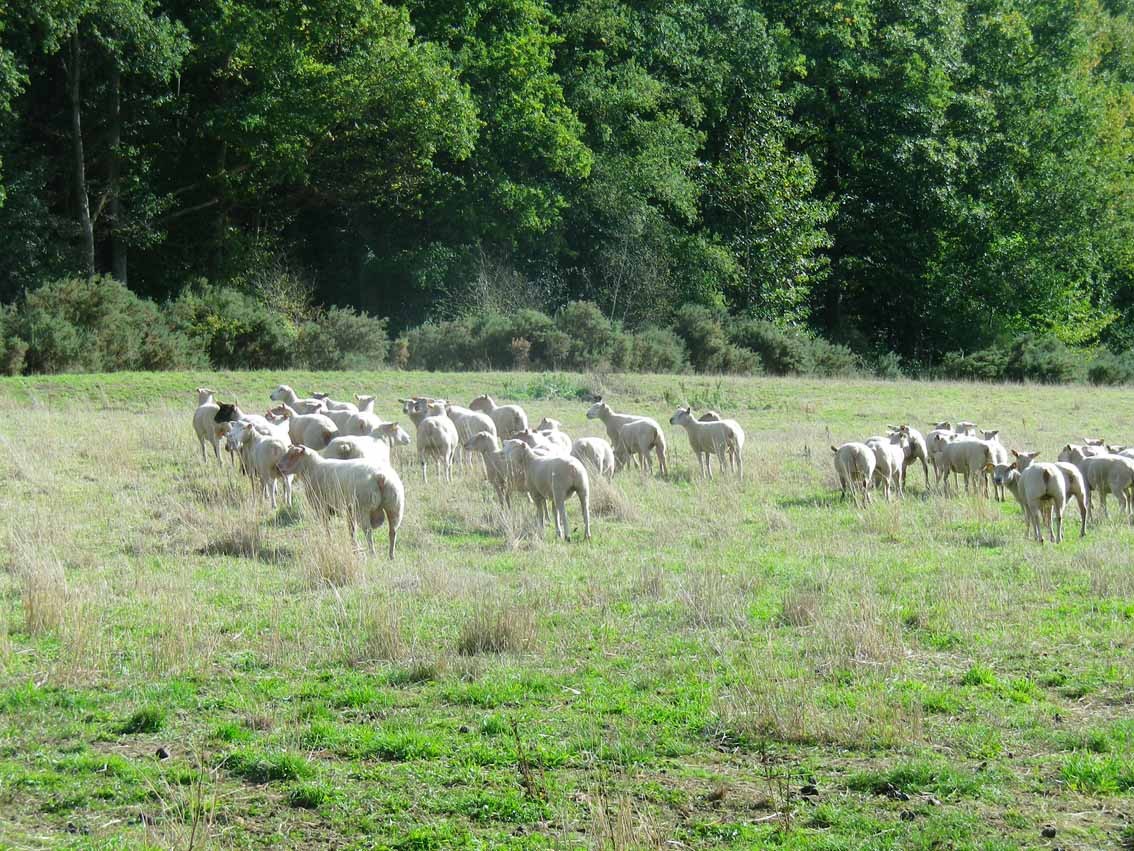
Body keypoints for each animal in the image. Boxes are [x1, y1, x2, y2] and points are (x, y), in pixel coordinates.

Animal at [276, 442, 405, 562]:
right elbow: (351, 529)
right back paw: (391, 555)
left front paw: (329, 541)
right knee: (393, 531)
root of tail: (381, 476)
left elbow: (326, 526)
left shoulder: (322, 506)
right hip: (395, 506)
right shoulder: (349, 509)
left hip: (363, 508)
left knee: (368, 532)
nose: (278, 466)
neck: (312, 468)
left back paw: (372, 554)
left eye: (293, 455)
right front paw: (353, 547)